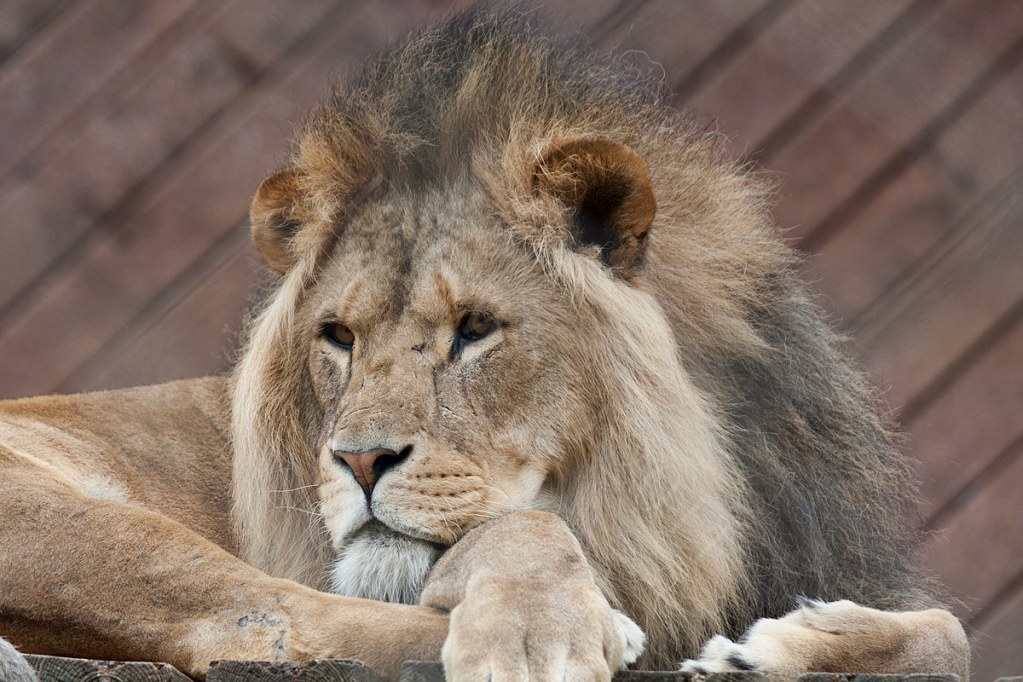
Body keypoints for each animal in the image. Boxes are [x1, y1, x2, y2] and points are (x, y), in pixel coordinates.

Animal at [0, 8, 969, 681]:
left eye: (473, 330)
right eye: (338, 337)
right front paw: (540, 636)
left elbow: (949, 634)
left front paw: (775, 646)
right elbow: (520, 531)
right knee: (258, 618)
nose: (357, 461)